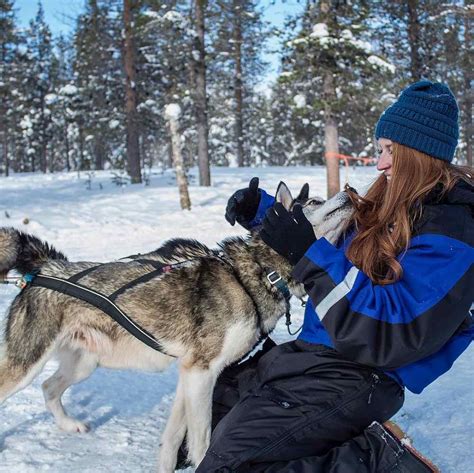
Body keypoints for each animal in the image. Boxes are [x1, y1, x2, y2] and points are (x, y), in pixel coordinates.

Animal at [0, 182, 352, 472]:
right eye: (316, 201)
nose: (349, 192)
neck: (261, 271)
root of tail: (45, 266)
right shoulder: (201, 372)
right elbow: (201, 442)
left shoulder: (191, 374)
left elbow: (172, 440)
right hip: (26, 364)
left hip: (84, 363)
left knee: (48, 387)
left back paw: (69, 425)